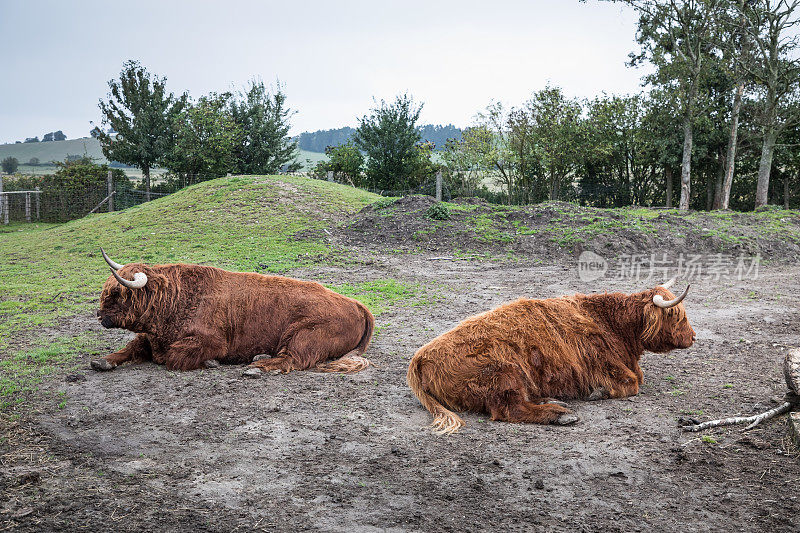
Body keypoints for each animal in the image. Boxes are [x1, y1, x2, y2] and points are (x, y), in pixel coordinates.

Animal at [92, 247, 374, 372]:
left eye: (117, 293)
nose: (100, 315)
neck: (175, 297)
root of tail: (357, 304)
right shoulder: (149, 338)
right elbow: (130, 348)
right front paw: (102, 361)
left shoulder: (212, 341)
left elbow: (174, 357)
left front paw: (212, 362)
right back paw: (259, 358)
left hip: (303, 334)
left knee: (293, 358)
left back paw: (256, 366)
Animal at [406, 278, 692, 432]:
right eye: (678, 317)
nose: (693, 337)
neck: (610, 322)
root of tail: (420, 357)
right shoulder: (606, 365)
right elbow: (631, 384)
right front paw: (597, 392)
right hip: (504, 373)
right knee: (511, 409)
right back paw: (562, 414)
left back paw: (553, 401)